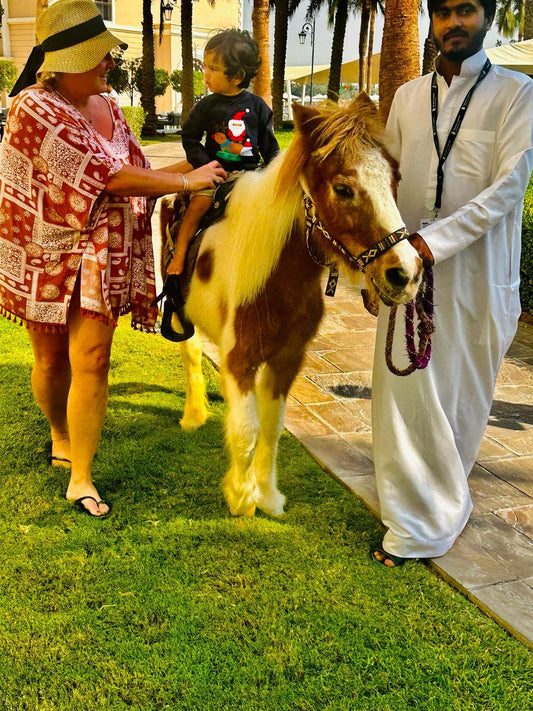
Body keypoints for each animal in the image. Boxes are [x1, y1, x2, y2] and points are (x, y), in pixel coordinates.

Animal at [159, 93, 423, 518]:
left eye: (394, 179)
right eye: (343, 188)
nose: (406, 273)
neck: (278, 276)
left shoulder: (287, 359)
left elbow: (271, 426)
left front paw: (267, 494)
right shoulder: (241, 358)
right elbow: (246, 429)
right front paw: (241, 497)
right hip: (180, 315)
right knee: (191, 355)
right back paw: (194, 414)